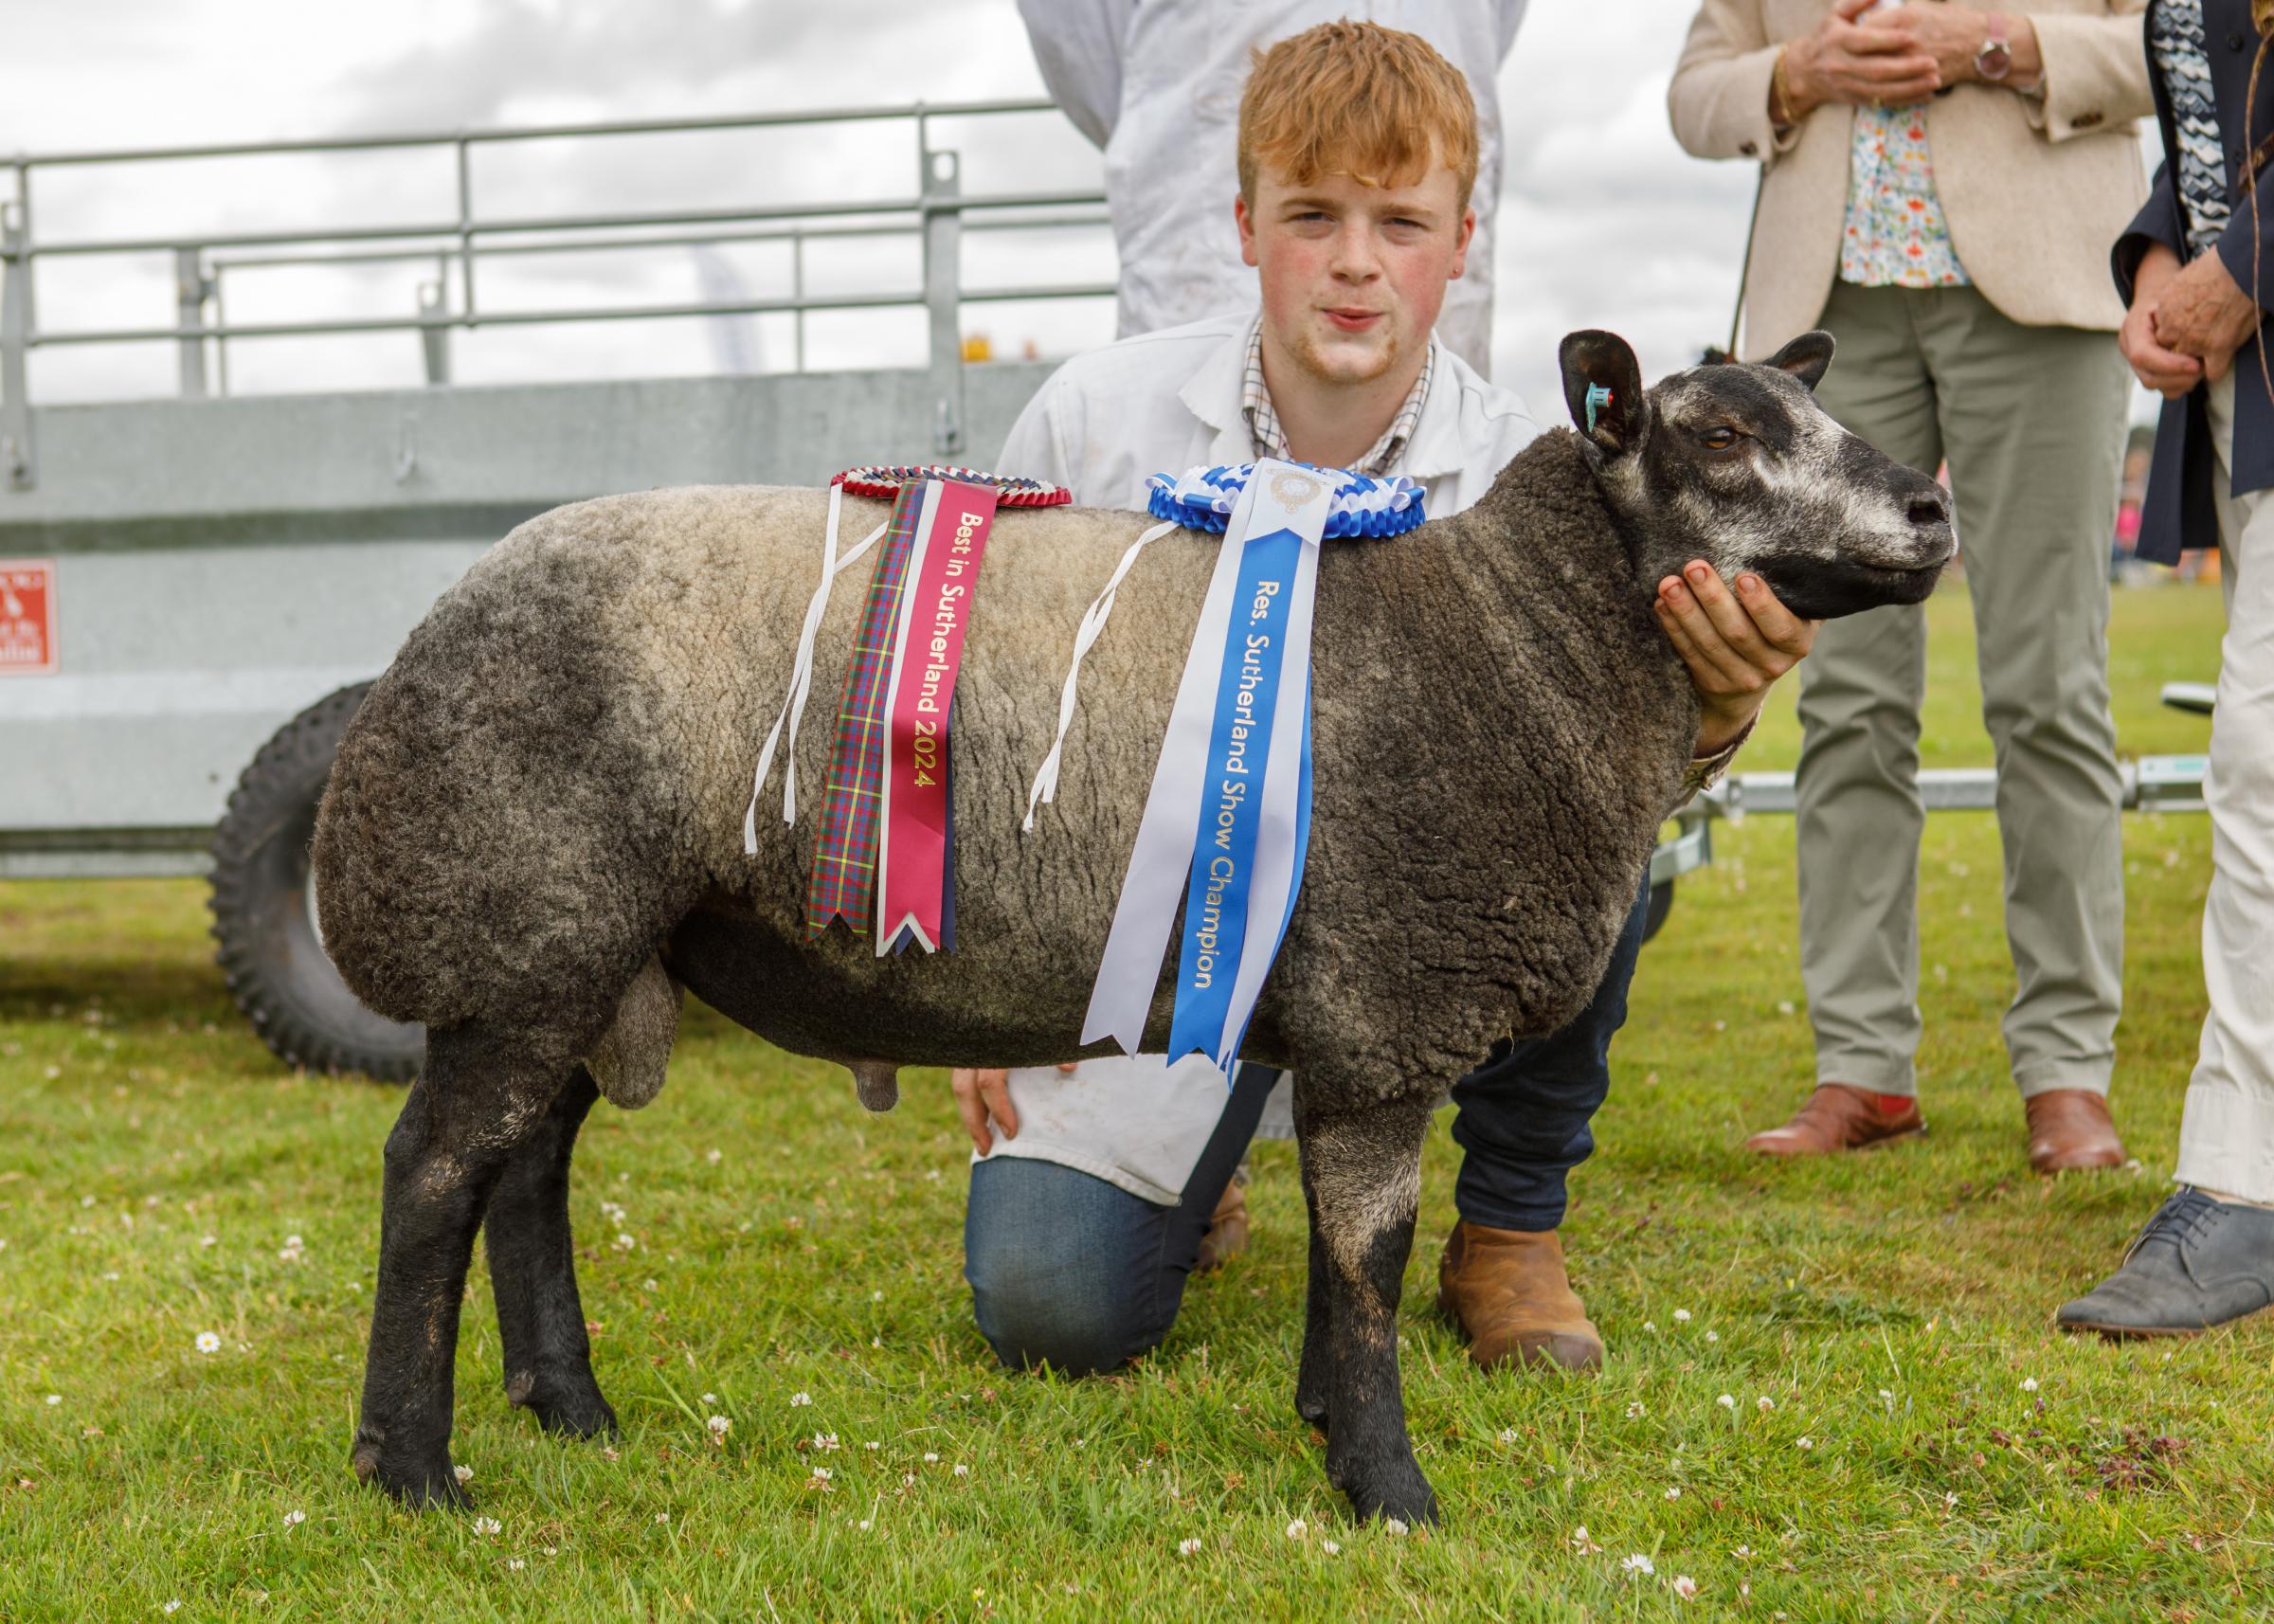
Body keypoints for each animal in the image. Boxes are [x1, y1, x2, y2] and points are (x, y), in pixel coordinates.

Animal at [316, 325, 1956, 1519]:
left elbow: (1341, 1256)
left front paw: (1324, 1421)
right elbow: (1370, 1254)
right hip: (528, 915)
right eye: (1722, 436)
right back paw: (414, 1471)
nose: (1934, 507)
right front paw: (1389, 1488)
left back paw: (571, 1410)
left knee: (527, 1170)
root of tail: (417, 648)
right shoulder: (1388, 1007)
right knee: (436, 1171)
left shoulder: (1345, 1014)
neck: (1505, 636)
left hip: (586, 942)